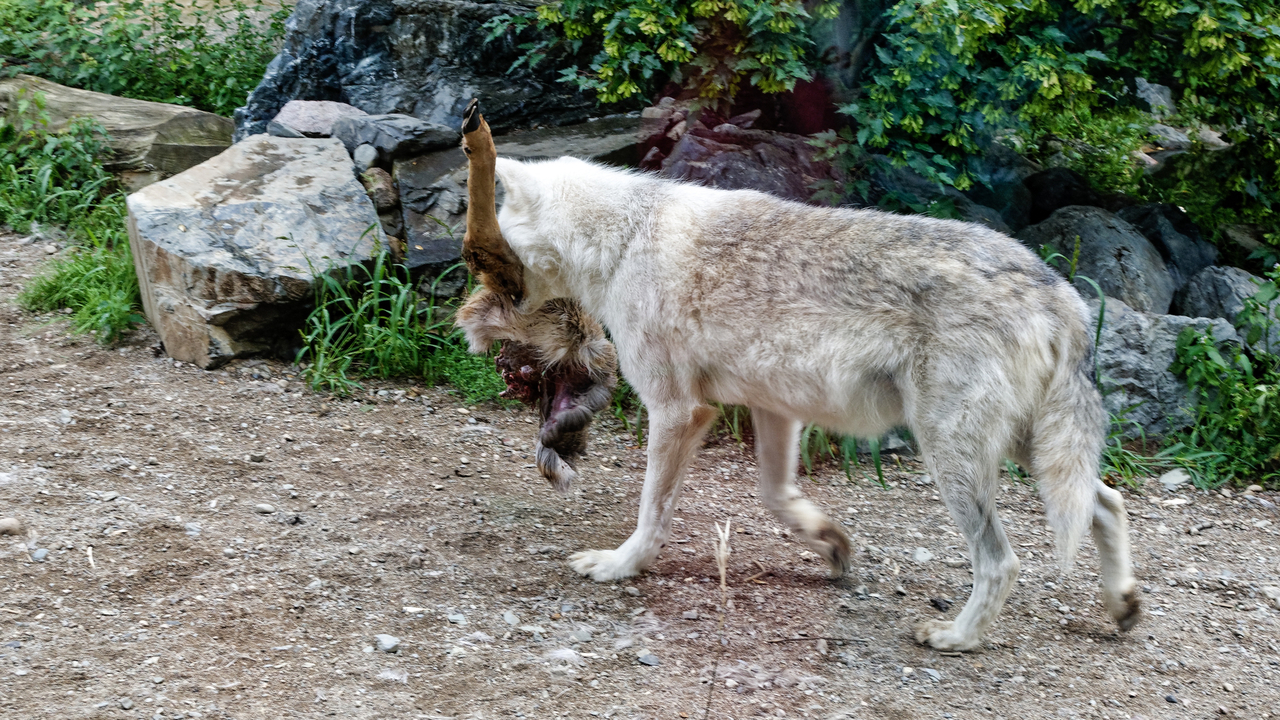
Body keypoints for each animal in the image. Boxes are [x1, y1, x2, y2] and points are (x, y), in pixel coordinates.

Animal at [454, 121, 1140, 652]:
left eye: (485, 239)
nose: (470, 305)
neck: (623, 238)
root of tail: (1058, 289)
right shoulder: (774, 410)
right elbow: (777, 497)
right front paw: (833, 545)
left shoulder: (678, 412)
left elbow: (652, 511)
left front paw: (621, 567)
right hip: (1024, 448)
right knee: (1108, 501)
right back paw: (1123, 604)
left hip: (953, 454)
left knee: (1004, 559)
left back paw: (957, 637)